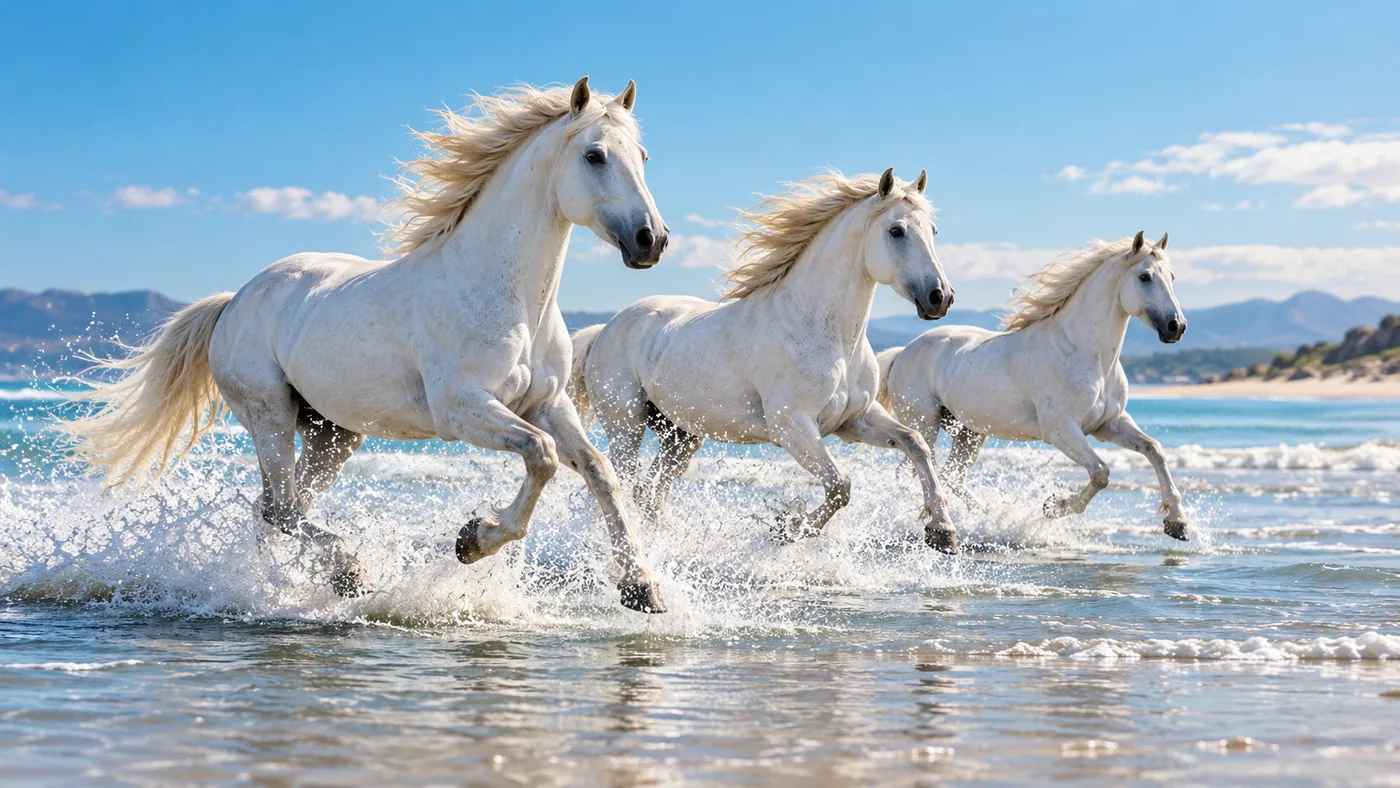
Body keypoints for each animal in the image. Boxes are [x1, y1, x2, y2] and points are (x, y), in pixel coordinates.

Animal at [60, 77, 673, 612]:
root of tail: (234, 301)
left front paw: (642, 589)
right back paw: (345, 572)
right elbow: (542, 458)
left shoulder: (547, 404)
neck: (508, 298)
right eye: (594, 155)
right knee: (279, 508)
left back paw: (283, 589)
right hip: (269, 413)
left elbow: (599, 471)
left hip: (333, 434)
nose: (652, 240)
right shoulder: (462, 410)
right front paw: (473, 540)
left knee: (275, 509)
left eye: (643, 155)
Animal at [569, 169, 962, 553]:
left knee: (649, 493)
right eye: (896, 231)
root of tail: (606, 329)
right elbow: (840, 485)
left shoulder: (854, 421)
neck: (830, 336)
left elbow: (915, 443)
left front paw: (943, 531)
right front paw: (786, 529)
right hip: (626, 425)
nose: (940, 297)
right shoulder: (792, 427)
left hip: (680, 435)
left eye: (933, 231)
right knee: (622, 482)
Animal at [877, 231, 1190, 541]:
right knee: (909, 469)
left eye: (1172, 277)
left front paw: (1178, 522)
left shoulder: (1109, 424)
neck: (1089, 356)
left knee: (950, 476)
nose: (1176, 327)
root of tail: (904, 352)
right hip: (925, 423)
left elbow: (1154, 450)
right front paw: (1053, 506)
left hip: (969, 433)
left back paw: (988, 516)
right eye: (1145, 277)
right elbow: (1101, 472)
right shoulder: (1062, 430)